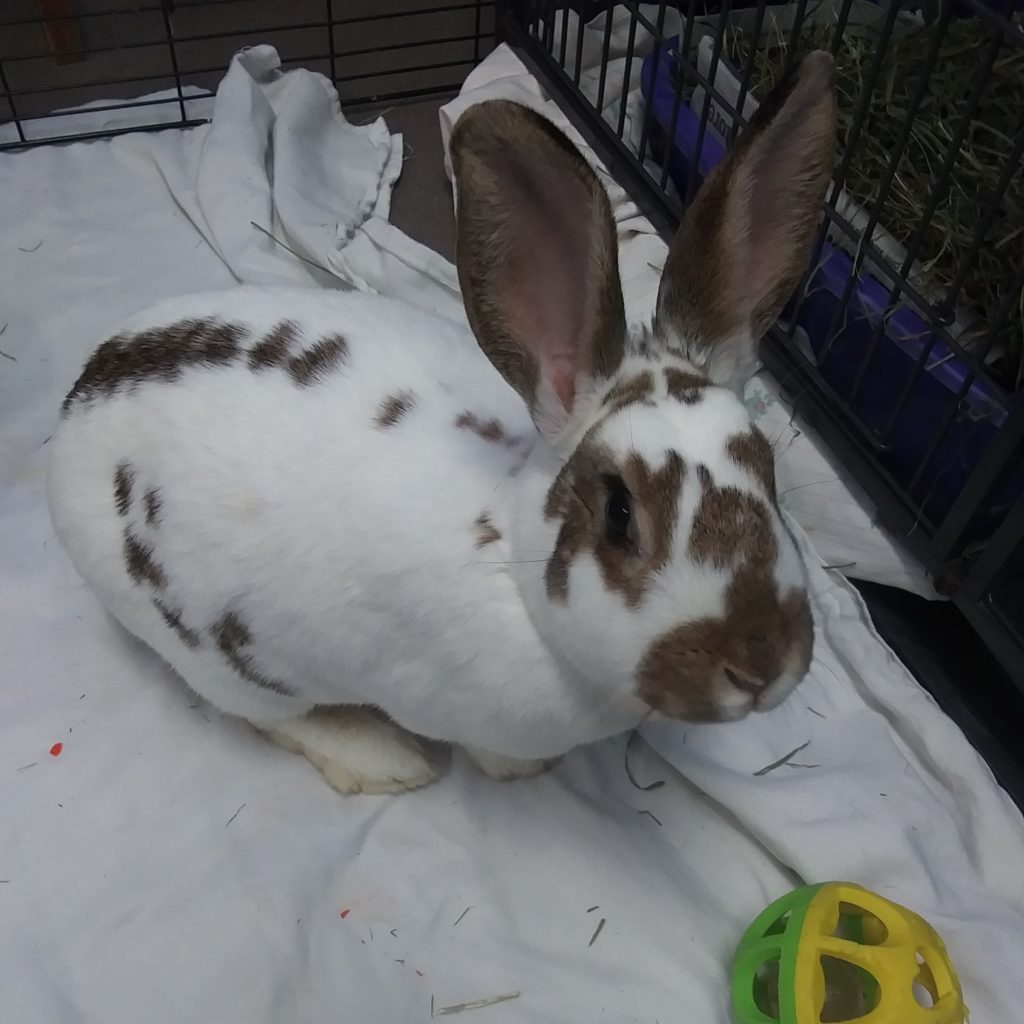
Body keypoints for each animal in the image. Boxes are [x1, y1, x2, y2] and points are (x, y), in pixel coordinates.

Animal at [47, 52, 837, 795]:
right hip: (220, 659)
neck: (510, 555)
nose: (759, 664)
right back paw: (384, 761)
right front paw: (522, 771)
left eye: (769, 477)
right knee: (275, 717)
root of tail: (74, 409)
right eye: (619, 514)